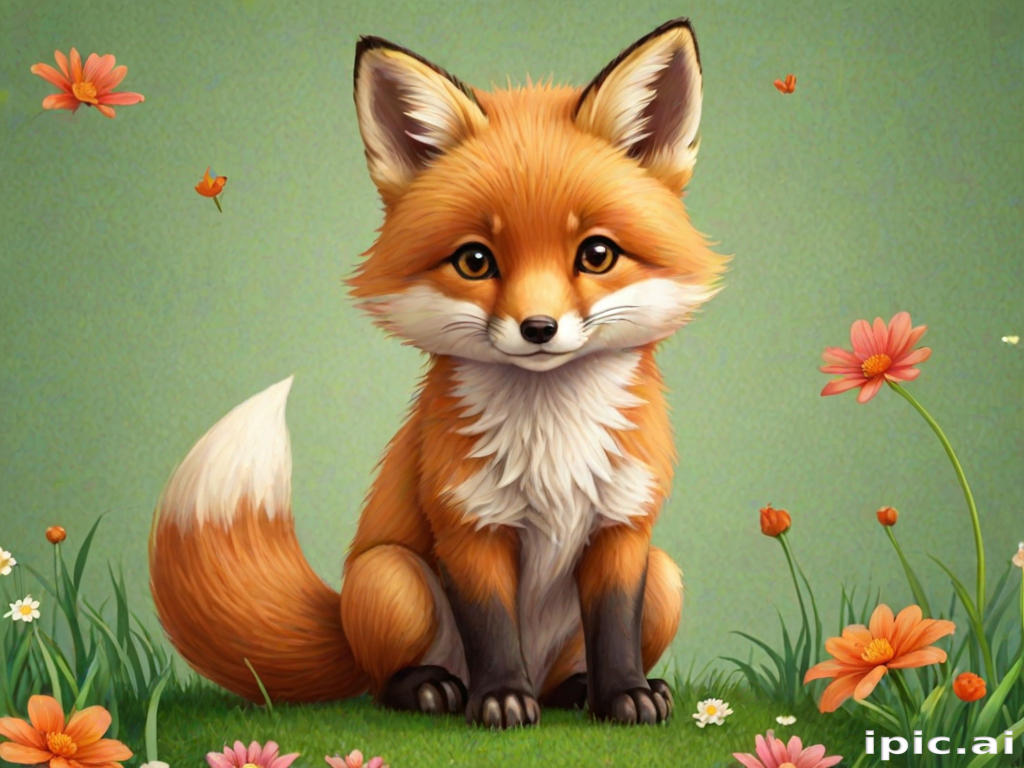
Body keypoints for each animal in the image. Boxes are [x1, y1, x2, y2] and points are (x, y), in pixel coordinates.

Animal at [148, 17, 727, 729]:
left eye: (596, 254)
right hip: (392, 578)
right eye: (475, 261)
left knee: (570, 665)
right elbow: (491, 627)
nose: (538, 328)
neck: (552, 444)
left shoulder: (624, 524)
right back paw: (432, 689)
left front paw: (624, 694)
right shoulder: (467, 522)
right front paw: (501, 699)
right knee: (381, 681)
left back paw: (577, 689)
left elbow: (614, 625)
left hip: (665, 575)